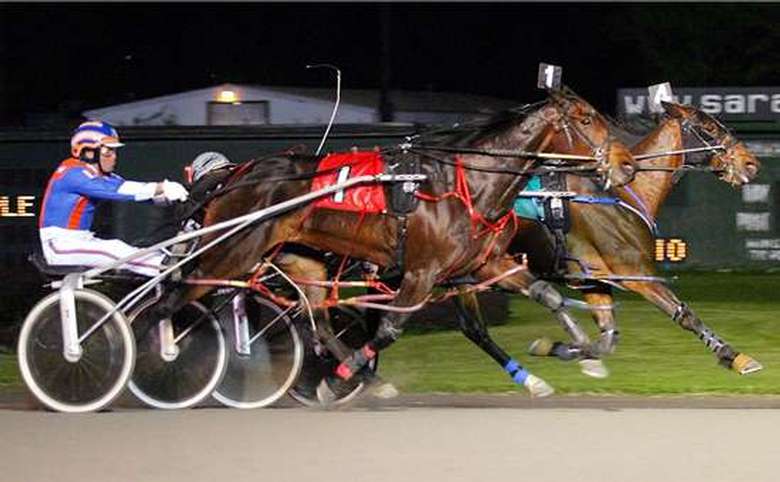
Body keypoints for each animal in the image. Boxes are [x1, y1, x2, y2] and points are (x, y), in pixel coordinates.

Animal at [154, 88, 640, 398]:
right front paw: (338, 379)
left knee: (318, 320)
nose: (628, 165)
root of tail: (236, 173)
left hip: (302, 261)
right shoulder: (421, 273)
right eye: (586, 120)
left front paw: (579, 348)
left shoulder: (484, 264)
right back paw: (165, 353)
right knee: (172, 296)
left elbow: (548, 295)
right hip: (230, 252)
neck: (465, 183)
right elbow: (388, 330)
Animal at [476, 100, 760, 374]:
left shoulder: (593, 281)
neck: (620, 191)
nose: (751, 163)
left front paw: (560, 349)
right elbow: (683, 314)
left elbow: (606, 339)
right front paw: (736, 357)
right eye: (709, 128)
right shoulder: (636, 274)